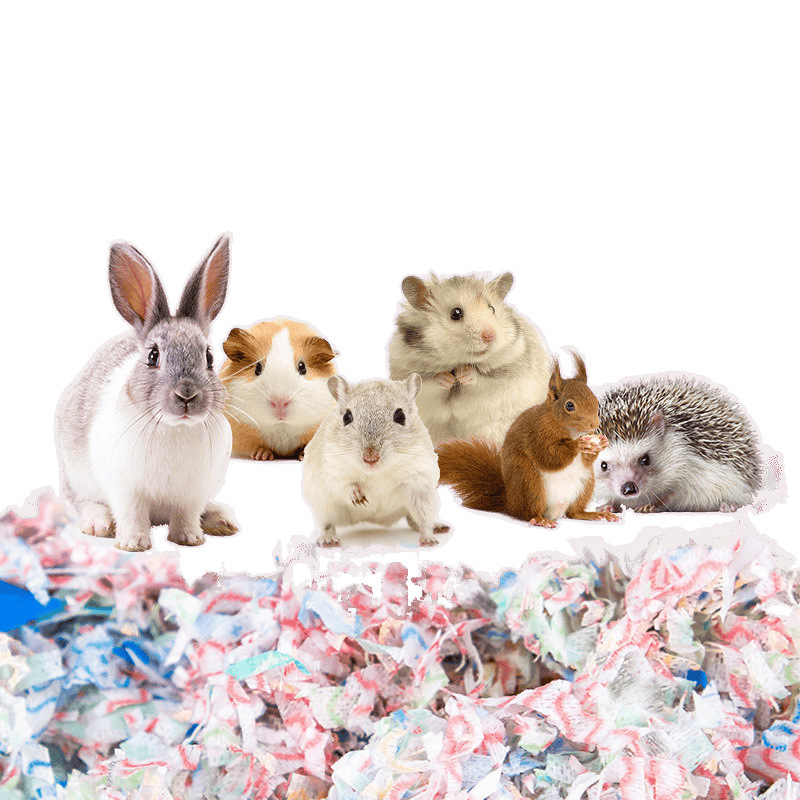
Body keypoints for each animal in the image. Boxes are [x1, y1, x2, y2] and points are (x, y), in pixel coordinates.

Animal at [220, 319, 338, 460]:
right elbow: (257, 447)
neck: (281, 426)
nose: (280, 402)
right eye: (257, 368)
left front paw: (303, 455)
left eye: (302, 367)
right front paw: (262, 456)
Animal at [301, 374, 447, 547]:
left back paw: (438, 527)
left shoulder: (420, 481)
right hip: (322, 505)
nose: (370, 458)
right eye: (346, 417)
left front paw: (429, 540)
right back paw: (328, 540)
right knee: (327, 524)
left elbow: (424, 517)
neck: (377, 473)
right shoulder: (332, 468)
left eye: (401, 416)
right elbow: (345, 484)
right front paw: (360, 499)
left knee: (415, 519)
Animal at [388, 272, 551, 446]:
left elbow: (481, 378)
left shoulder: (507, 371)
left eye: (492, 308)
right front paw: (447, 379)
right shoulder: (408, 371)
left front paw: (463, 374)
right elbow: (431, 381)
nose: (490, 335)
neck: (457, 361)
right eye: (456, 313)